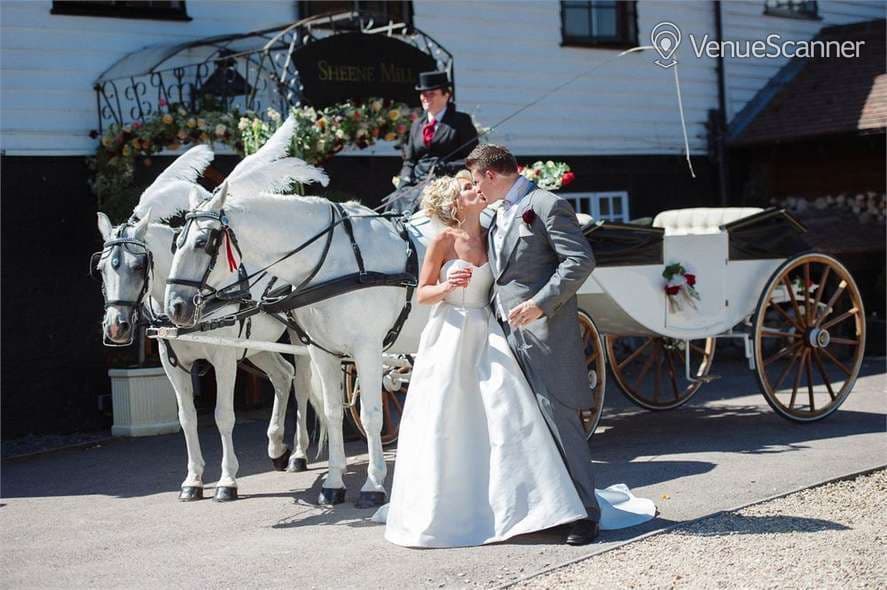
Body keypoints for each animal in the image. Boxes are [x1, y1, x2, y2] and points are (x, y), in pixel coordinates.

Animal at [163, 183, 436, 507]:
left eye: (202, 242)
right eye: (176, 243)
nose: (175, 307)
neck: (337, 260)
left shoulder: (367, 349)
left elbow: (371, 416)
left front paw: (373, 484)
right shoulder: (323, 352)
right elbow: (332, 411)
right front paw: (333, 484)